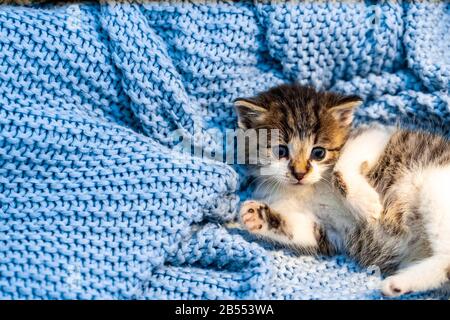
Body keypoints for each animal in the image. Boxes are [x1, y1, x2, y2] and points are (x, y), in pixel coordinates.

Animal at [236, 84, 450, 296]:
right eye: (280, 151)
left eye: (319, 153)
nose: (299, 174)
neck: (307, 189)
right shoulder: (327, 230)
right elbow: (300, 230)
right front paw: (256, 216)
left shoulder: (377, 134)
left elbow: (340, 167)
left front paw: (366, 204)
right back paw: (400, 284)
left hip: (435, 186)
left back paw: (397, 282)